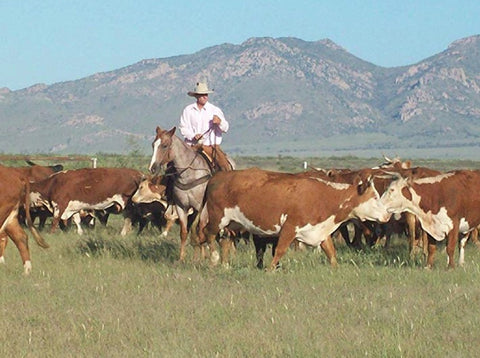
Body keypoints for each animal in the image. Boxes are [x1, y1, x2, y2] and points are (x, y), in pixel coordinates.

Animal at [149, 126, 233, 262]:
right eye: (153, 144)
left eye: (165, 145)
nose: (152, 168)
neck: (189, 175)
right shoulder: (181, 207)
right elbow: (184, 232)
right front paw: (182, 258)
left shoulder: (203, 208)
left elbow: (201, 230)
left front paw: (206, 257)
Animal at [197, 167, 392, 268]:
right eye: (375, 198)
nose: (387, 215)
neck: (323, 197)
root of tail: (217, 177)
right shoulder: (290, 228)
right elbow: (279, 250)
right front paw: (270, 270)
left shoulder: (320, 231)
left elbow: (331, 252)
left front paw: (336, 268)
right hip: (217, 218)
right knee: (208, 234)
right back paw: (214, 259)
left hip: (233, 224)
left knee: (225, 239)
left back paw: (224, 264)